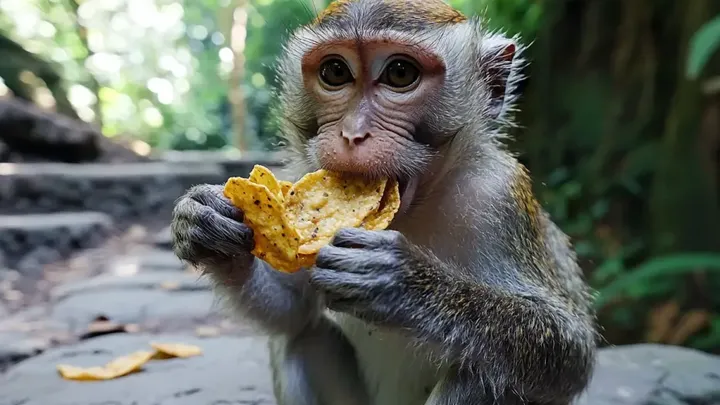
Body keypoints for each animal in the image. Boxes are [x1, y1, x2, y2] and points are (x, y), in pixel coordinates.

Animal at [170, 1, 599, 405]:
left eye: (400, 74)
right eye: (335, 72)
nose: (352, 134)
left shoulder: (501, 197)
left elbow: (571, 351)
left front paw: (404, 282)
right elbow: (293, 312)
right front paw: (205, 225)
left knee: (487, 374)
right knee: (303, 339)